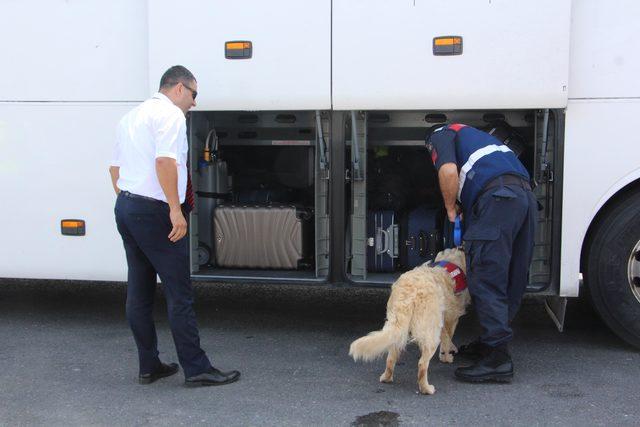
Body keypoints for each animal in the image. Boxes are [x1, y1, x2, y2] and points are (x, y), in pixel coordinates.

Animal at [350, 249, 470, 396]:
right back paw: (426, 388)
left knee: (391, 358)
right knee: (422, 364)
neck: (451, 261)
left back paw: (386, 377)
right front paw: (447, 356)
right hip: (430, 332)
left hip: (399, 327)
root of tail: (409, 293)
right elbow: (447, 339)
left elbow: (446, 337)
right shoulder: (451, 318)